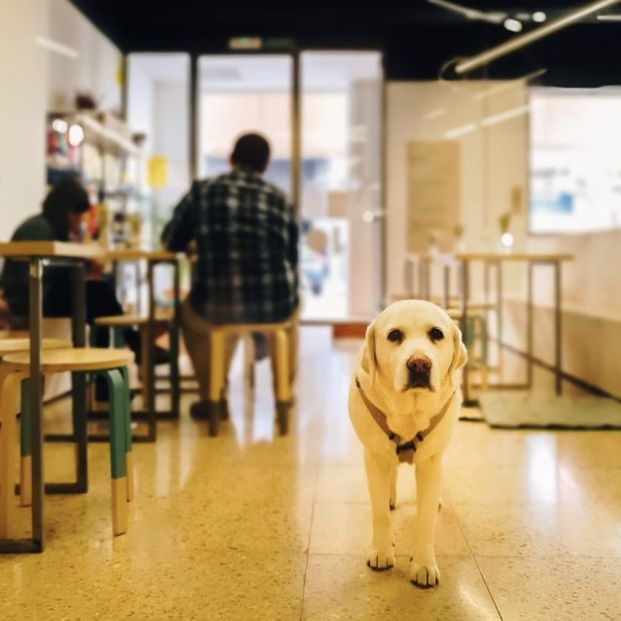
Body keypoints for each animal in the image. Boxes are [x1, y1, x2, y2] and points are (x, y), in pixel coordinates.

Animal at [348, 300, 464, 588]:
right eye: (394, 335)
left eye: (436, 334)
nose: (419, 364)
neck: (409, 413)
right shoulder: (374, 456)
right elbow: (379, 513)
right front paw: (381, 550)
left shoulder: (431, 463)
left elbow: (426, 520)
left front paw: (423, 563)